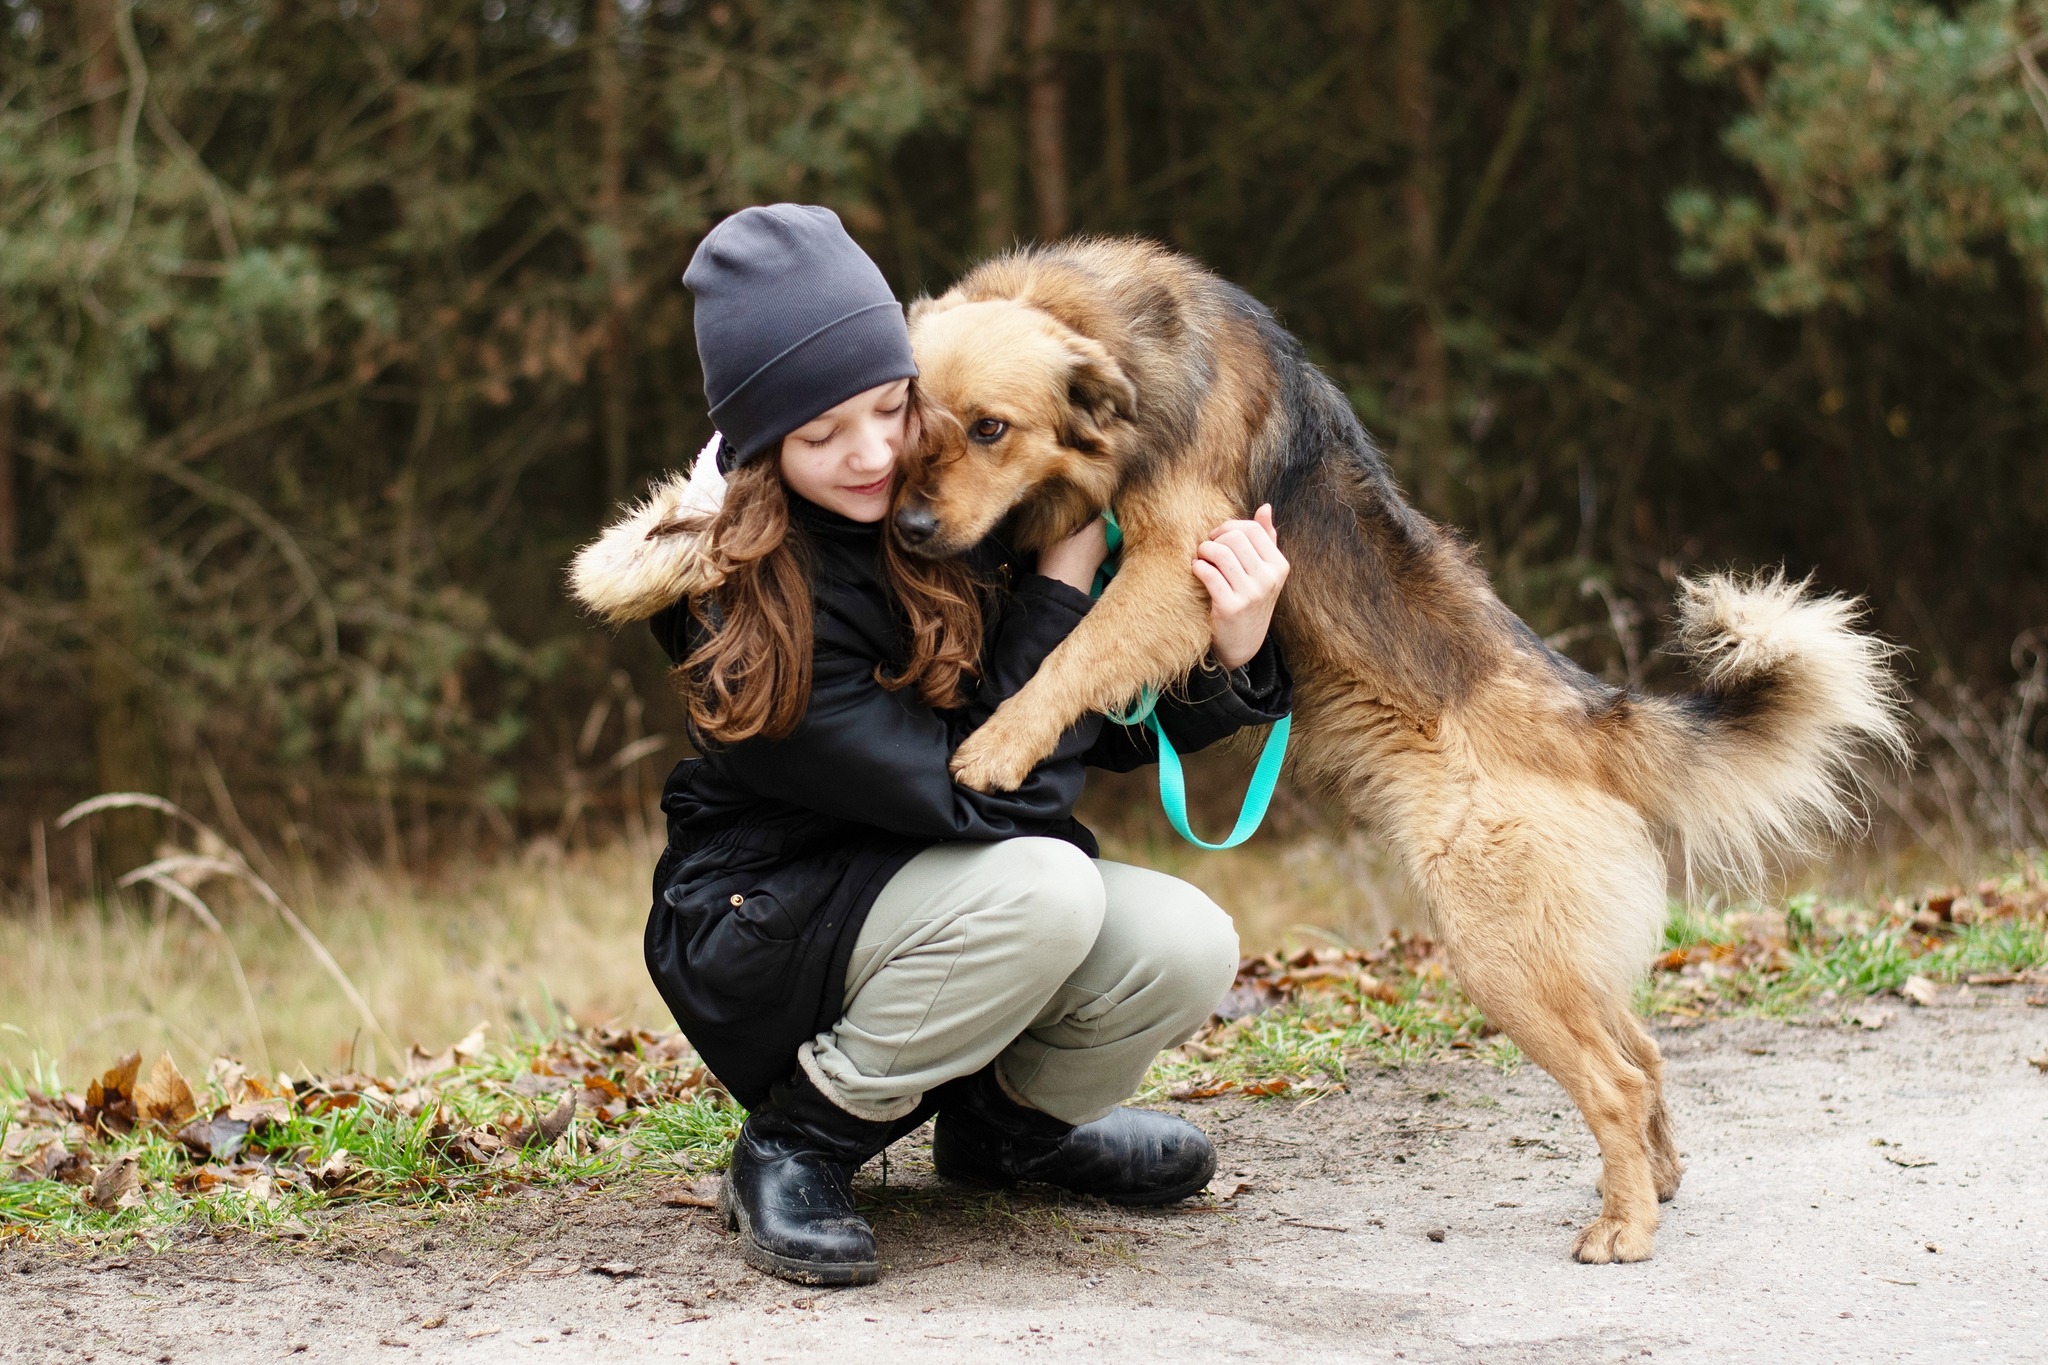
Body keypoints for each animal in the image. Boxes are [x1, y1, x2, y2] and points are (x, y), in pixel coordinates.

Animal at [897, 232, 1900, 1260]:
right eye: (912, 422)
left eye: (991, 428)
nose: (911, 528)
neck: (1114, 333)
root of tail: (1584, 716)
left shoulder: (1177, 566)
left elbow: (1073, 655)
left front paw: (997, 743)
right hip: (1551, 950)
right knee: (1645, 1050)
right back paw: (1651, 1183)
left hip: (1499, 951)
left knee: (1616, 1078)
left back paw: (1624, 1225)